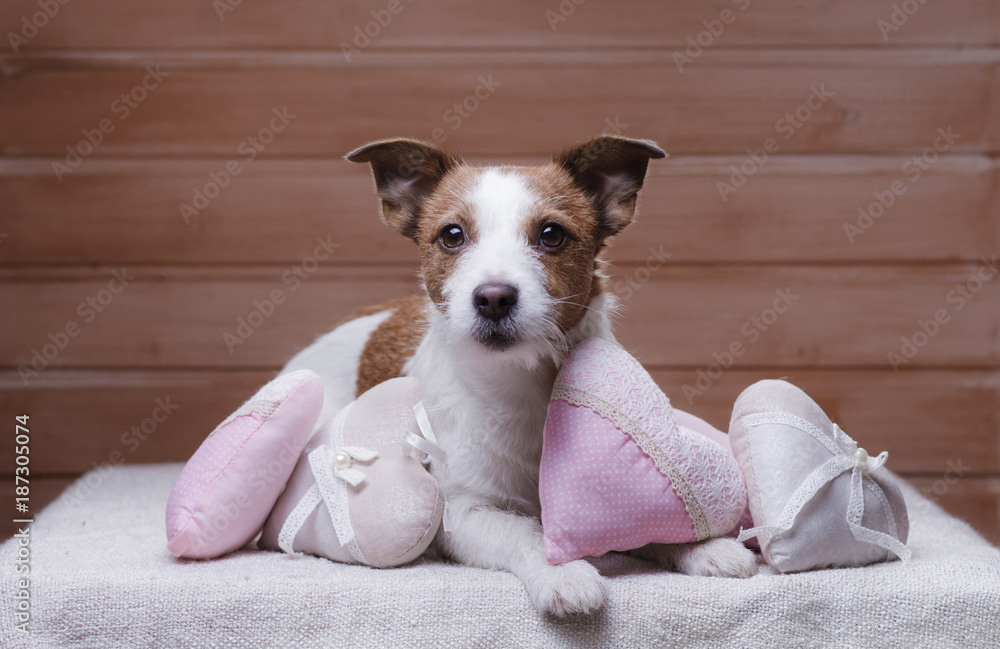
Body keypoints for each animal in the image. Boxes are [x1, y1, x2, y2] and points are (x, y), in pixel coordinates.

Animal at [278, 135, 752, 612]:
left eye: (552, 234)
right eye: (452, 235)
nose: (493, 298)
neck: (521, 386)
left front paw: (701, 546)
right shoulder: (464, 513)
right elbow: (524, 530)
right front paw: (561, 571)